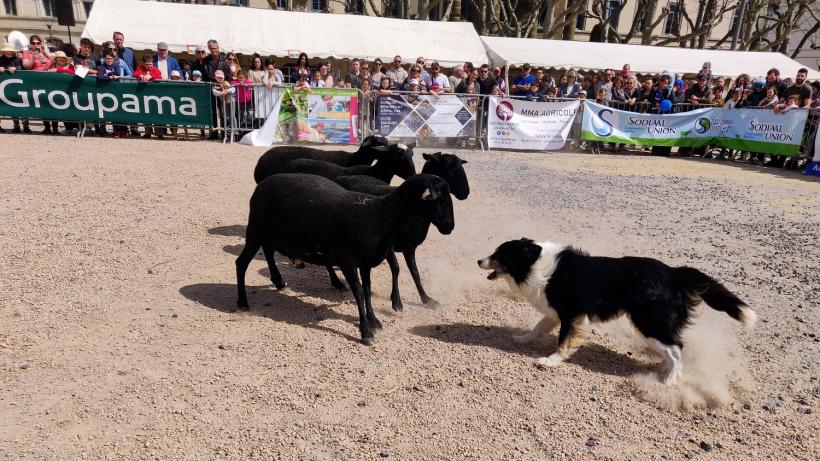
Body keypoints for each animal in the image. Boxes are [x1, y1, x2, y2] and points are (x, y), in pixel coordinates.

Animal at [235, 172, 454, 342]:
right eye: (440, 199)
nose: (449, 227)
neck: (379, 215)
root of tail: (263, 184)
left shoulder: (365, 263)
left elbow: (367, 291)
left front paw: (374, 321)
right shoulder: (348, 261)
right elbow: (358, 292)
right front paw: (366, 331)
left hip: (270, 233)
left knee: (268, 251)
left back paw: (279, 281)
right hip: (255, 229)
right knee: (241, 263)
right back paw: (242, 303)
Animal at [478, 239, 760, 382]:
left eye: (499, 254)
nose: (479, 260)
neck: (535, 263)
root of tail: (673, 273)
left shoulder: (572, 313)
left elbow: (564, 340)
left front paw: (551, 361)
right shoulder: (556, 311)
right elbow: (539, 326)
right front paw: (522, 338)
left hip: (649, 321)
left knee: (677, 348)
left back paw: (668, 382)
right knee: (672, 349)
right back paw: (663, 369)